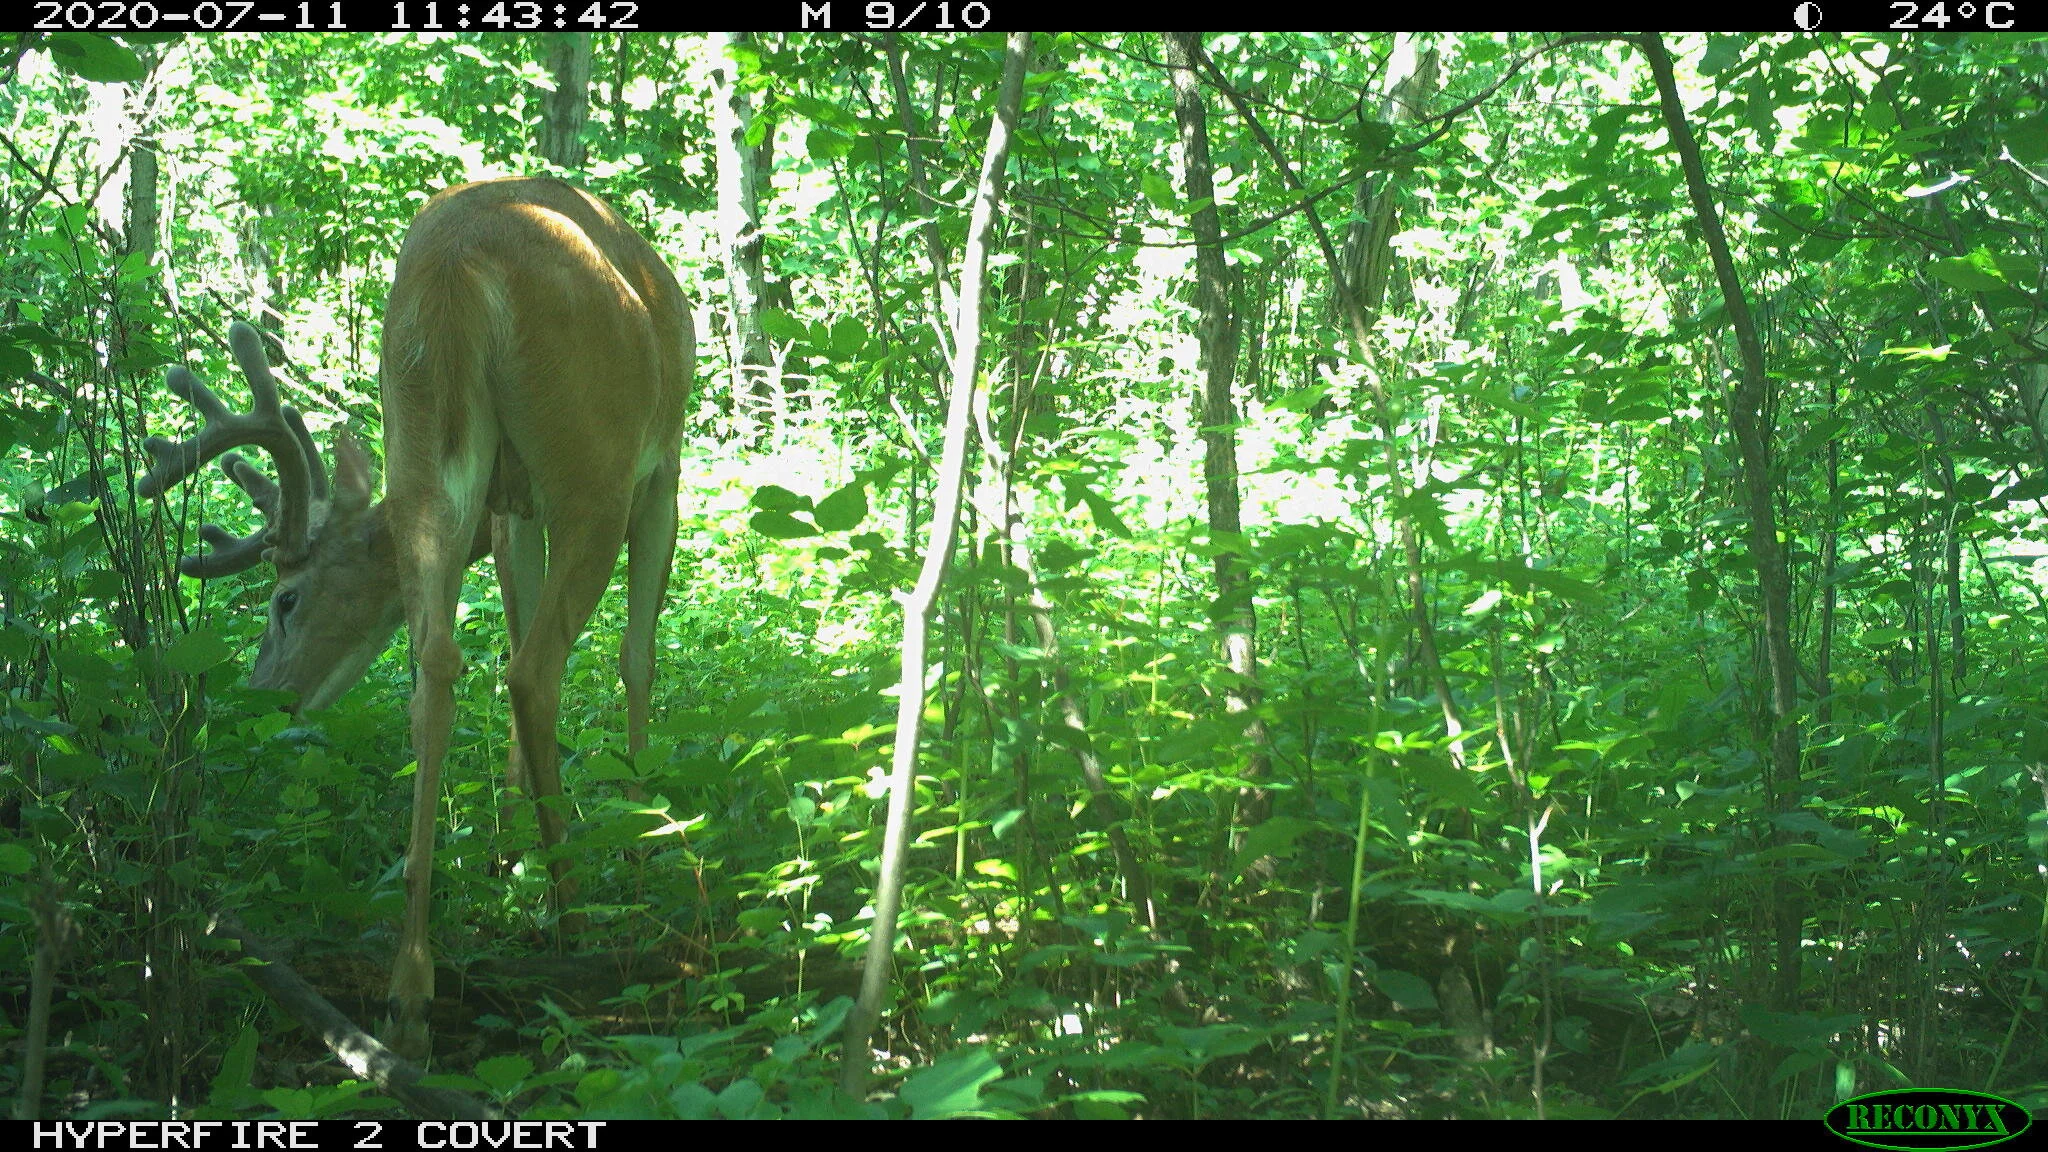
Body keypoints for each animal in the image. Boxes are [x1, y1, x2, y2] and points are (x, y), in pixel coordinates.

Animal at [136, 176, 694, 1060]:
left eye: (285, 601)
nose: (257, 699)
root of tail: (455, 267)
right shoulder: (662, 470)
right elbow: (636, 657)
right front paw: (643, 823)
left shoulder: (507, 506)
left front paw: (507, 852)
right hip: (591, 463)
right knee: (533, 670)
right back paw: (574, 909)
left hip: (421, 432)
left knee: (438, 662)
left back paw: (411, 990)